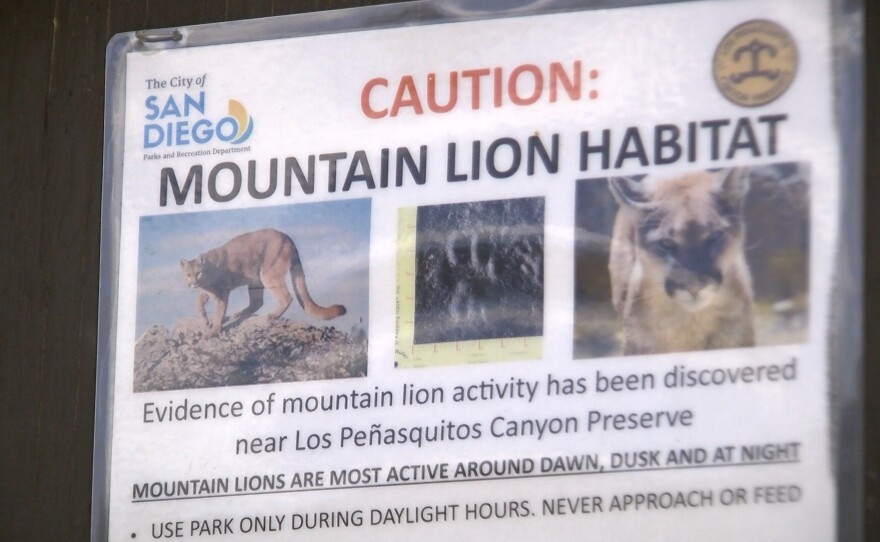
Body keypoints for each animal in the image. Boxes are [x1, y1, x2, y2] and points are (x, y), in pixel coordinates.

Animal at [180, 227, 348, 338]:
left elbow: (218, 312)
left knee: (286, 297)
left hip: (267, 274)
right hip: (254, 279)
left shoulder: (221, 293)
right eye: (188, 275)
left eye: (199, 272)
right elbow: (198, 303)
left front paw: (213, 330)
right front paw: (204, 321)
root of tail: (286, 236)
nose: (194, 282)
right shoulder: (206, 291)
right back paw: (239, 314)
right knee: (257, 302)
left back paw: (271, 316)